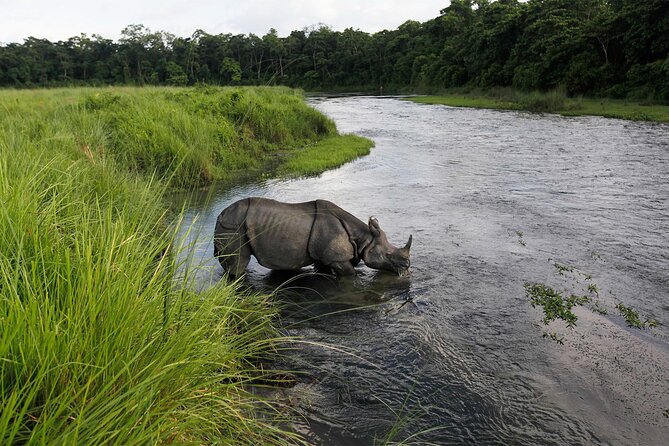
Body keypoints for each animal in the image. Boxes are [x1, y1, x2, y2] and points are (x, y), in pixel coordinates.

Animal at [213, 197, 412, 277]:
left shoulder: (325, 256)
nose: (407, 266)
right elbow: (350, 274)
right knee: (238, 263)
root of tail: (220, 214)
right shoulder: (337, 258)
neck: (363, 238)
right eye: (387, 255)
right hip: (233, 227)